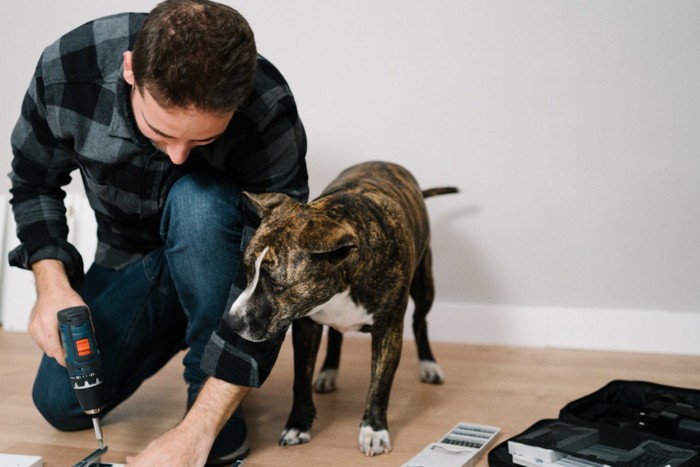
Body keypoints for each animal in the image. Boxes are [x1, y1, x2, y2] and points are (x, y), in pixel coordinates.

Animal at [226, 161, 460, 458]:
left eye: (278, 286)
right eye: (246, 270)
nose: (231, 322)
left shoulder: (388, 332)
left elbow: (379, 385)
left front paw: (373, 431)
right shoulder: (306, 327)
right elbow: (300, 380)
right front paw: (298, 425)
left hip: (424, 284)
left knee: (420, 321)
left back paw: (428, 364)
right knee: (336, 335)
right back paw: (328, 371)